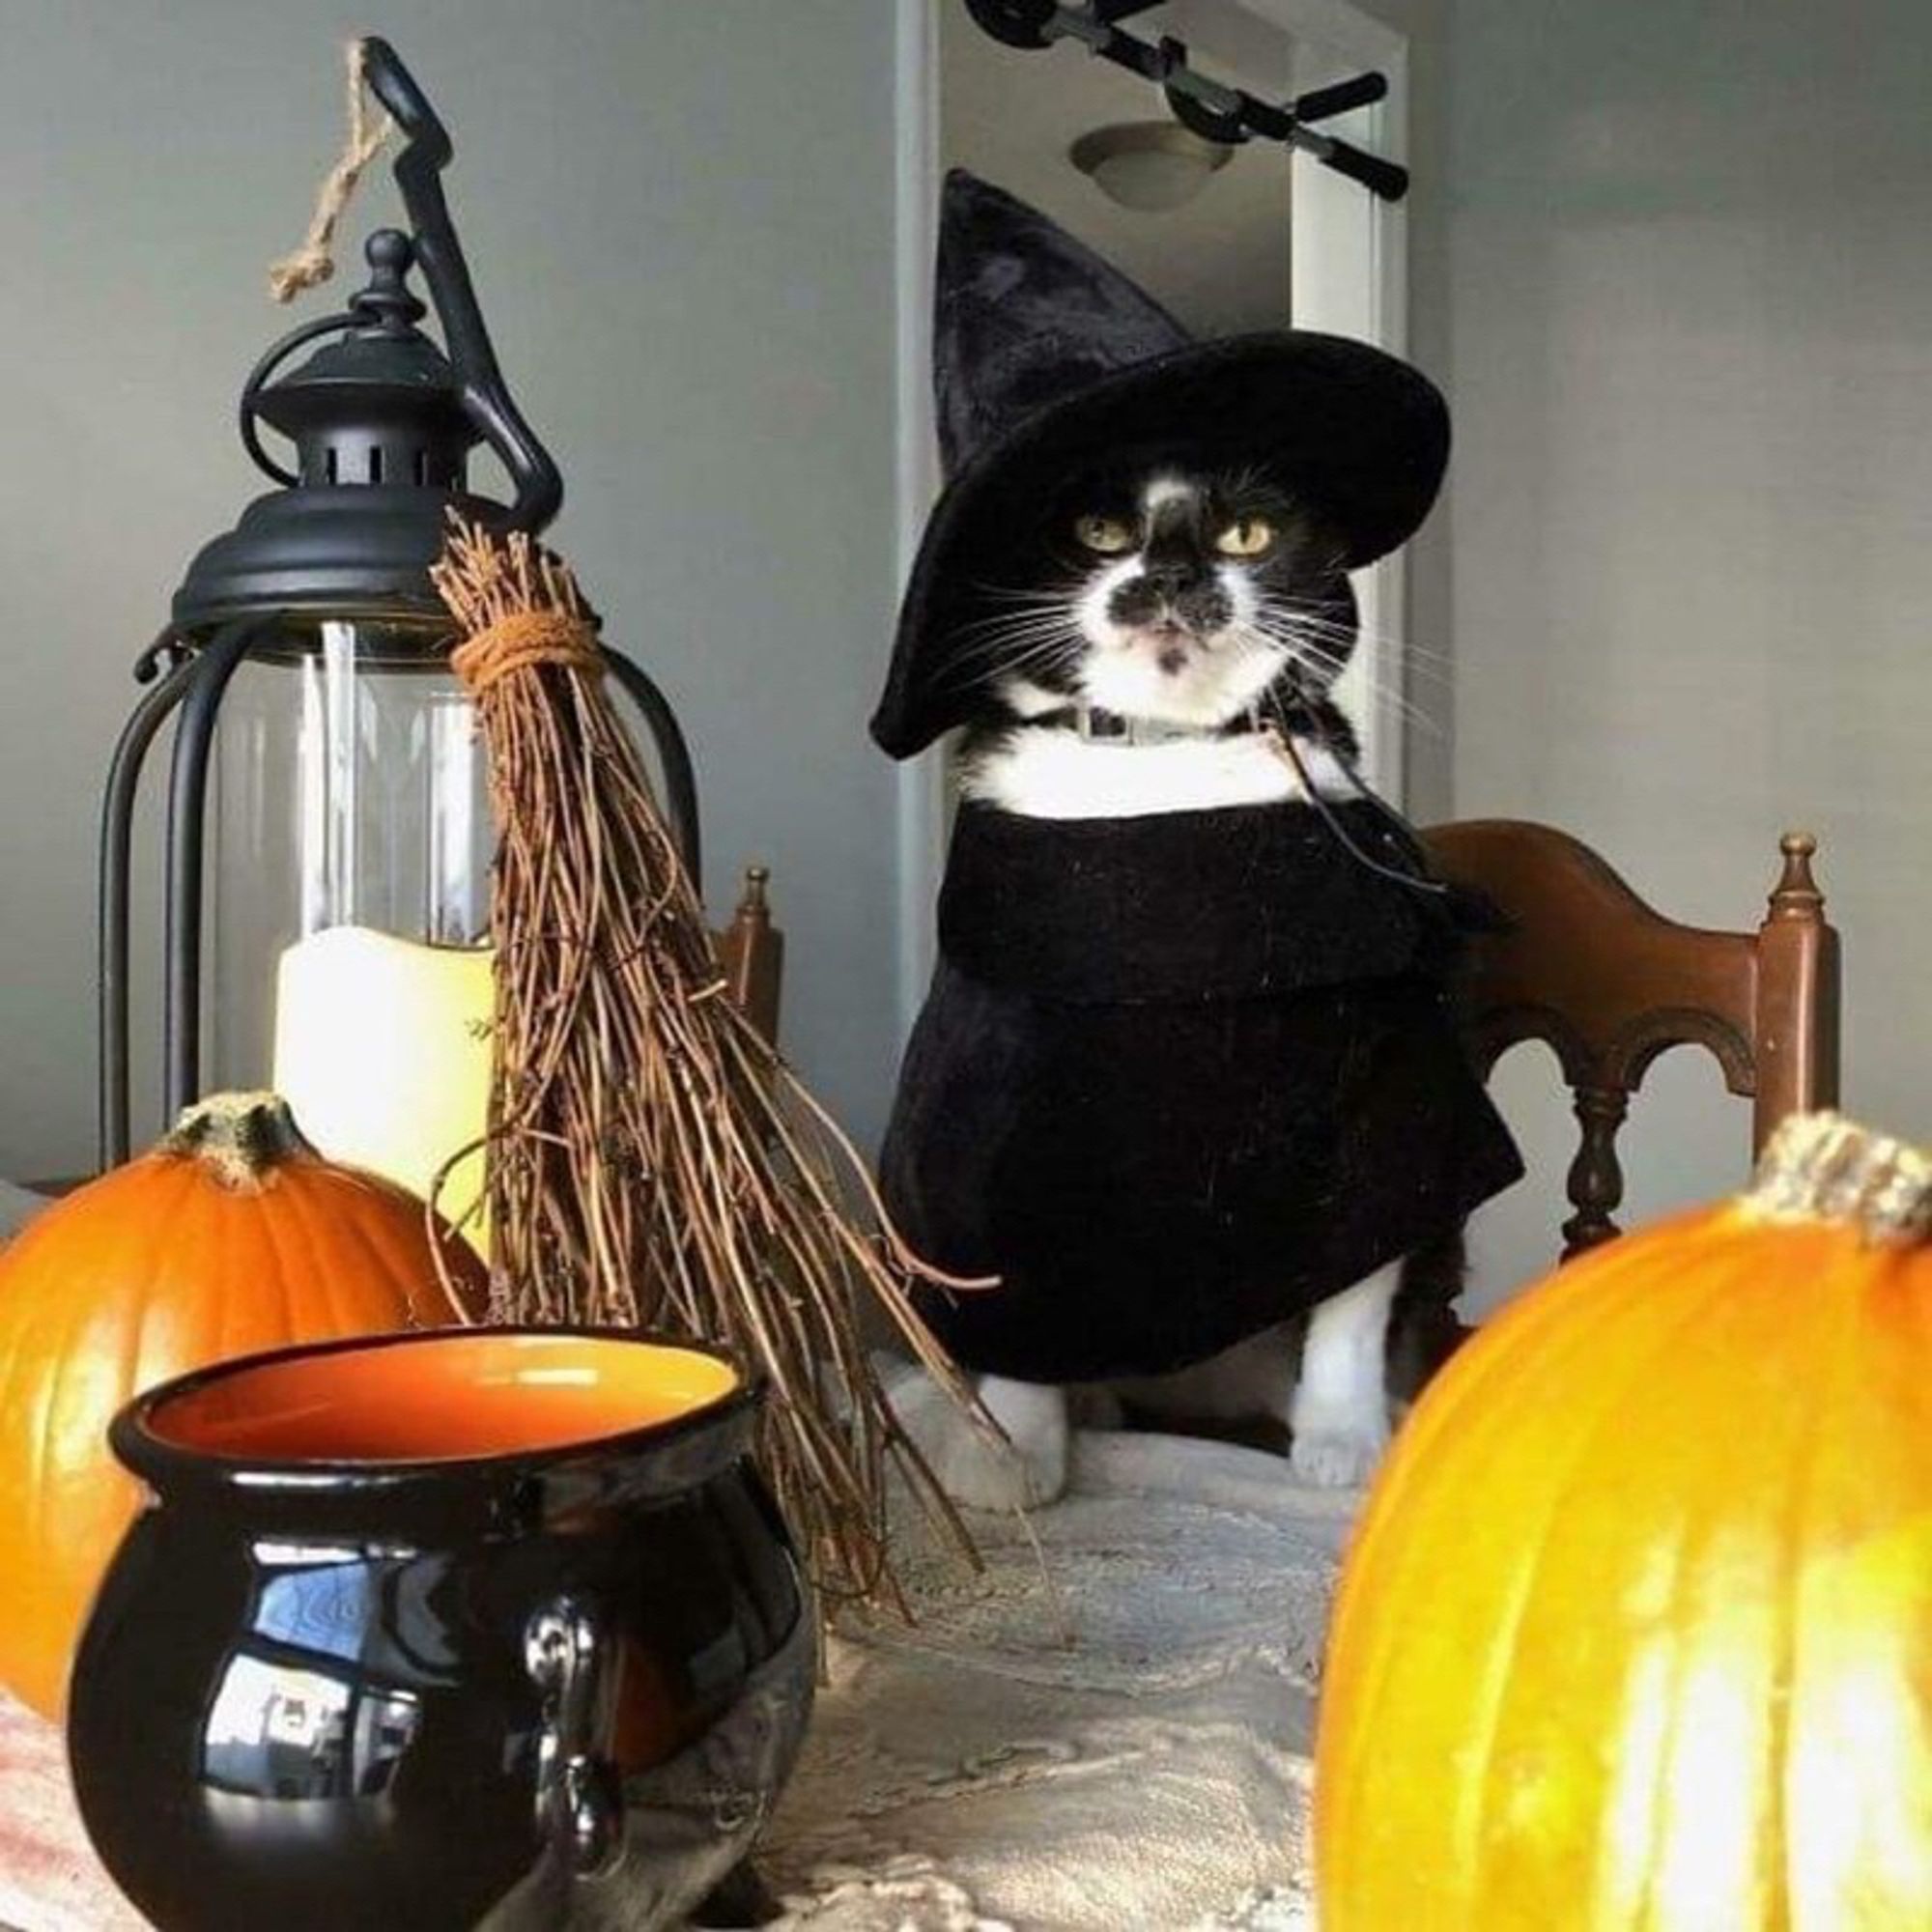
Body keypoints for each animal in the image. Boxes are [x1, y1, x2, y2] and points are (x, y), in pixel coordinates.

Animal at [885, 456, 1468, 1507]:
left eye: (1246, 533)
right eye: (1097, 528)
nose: (1170, 572)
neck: (1164, 781)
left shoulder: (1385, 1101)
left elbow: (1355, 1290)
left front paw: (1346, 1436)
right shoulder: (987, 1122)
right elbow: (1014, 1302)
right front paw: (1016, 1454)